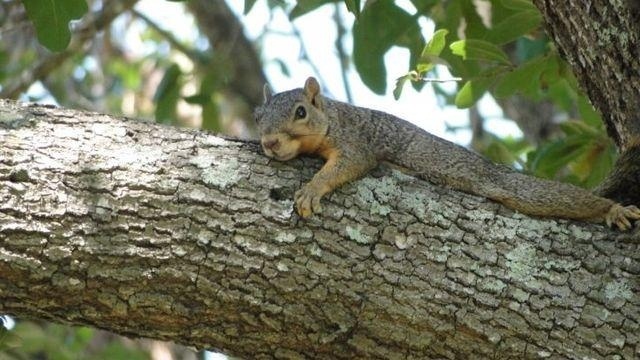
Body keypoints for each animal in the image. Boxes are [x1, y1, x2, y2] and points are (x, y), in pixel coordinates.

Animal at [254, 76, 640, 231]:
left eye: (301, 112)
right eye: (257, 117)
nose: (270, 143)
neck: (332, 118)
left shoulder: (356, 142)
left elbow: (347, 166)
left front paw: (312, 189)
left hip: (515, 189)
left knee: (559, 198)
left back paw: (612, 209)